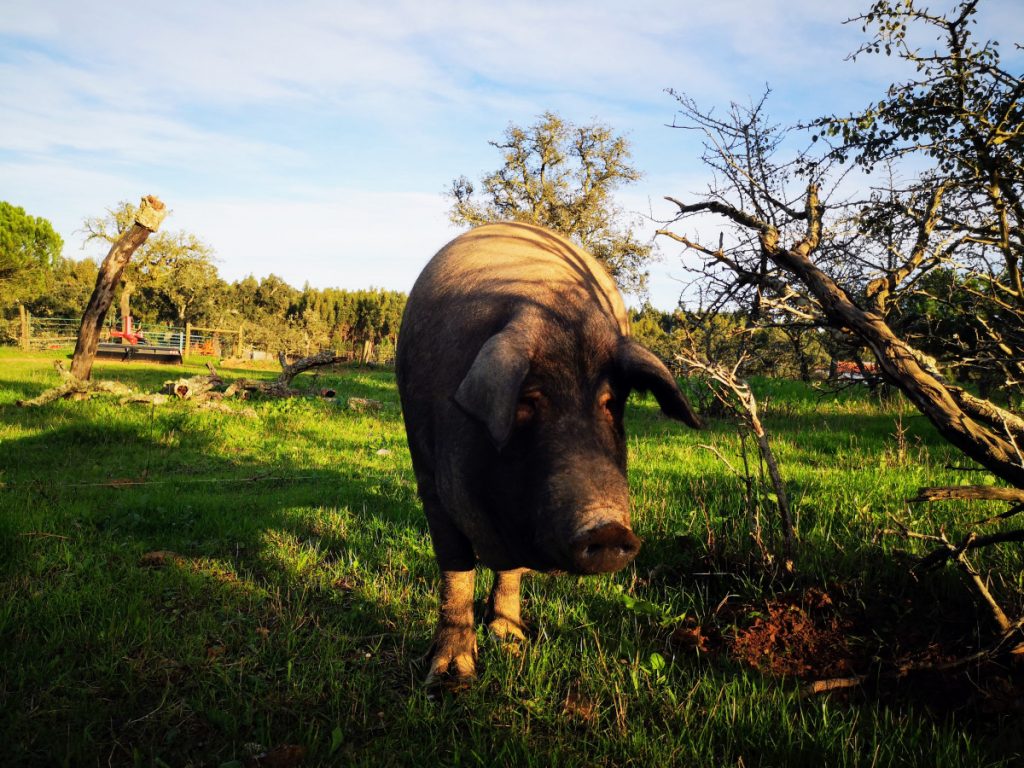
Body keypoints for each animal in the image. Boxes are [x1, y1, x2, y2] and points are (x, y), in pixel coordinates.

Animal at [393, 222, 704, 684]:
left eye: (609, 403)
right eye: (528, 399)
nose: (607, 527)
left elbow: (509, 568)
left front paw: (510, 644)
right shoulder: (429, 478)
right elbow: (455, 569)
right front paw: (448, 679)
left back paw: (510, 638)